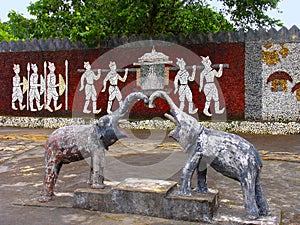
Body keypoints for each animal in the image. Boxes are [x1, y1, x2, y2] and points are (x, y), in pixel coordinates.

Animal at [149, 90, 268, 219]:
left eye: (177, 116)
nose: (151, 103)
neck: (200, 128)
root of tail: (258, 158)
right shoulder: (201, 152)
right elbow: (201, 167)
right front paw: (201, 192)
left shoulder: (197, 148)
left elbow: (189, 166)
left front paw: (184, 194)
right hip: (254, 170)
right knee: (257, 186)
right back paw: (264, 213)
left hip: (246, 167)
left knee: (248, 186)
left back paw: (251, 217)